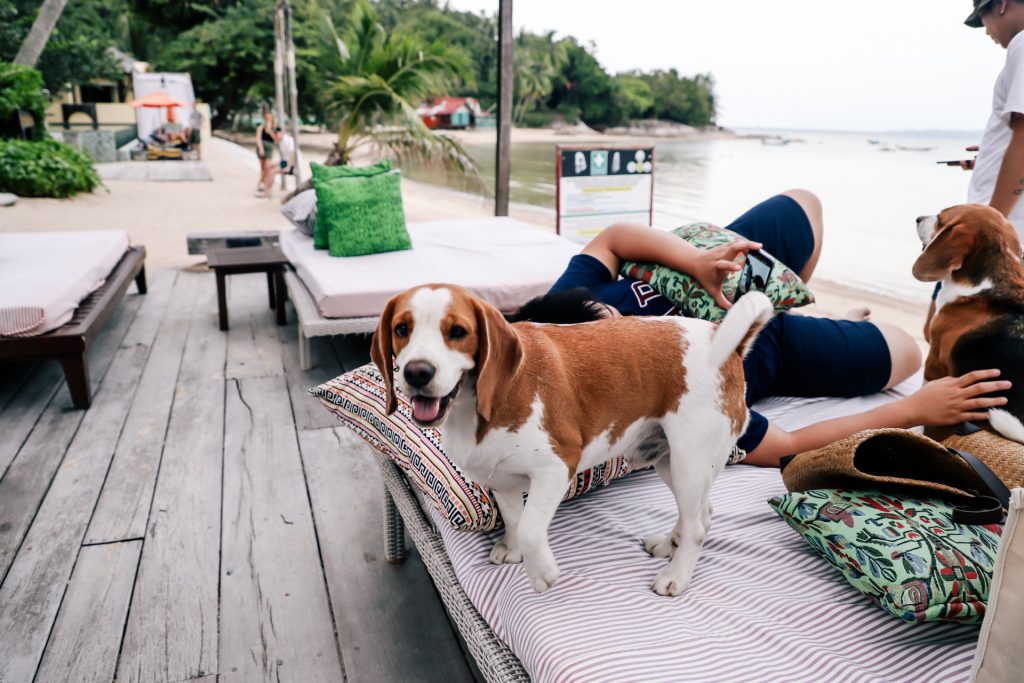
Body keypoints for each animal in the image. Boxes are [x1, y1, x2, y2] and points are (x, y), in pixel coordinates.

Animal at [368, 282, 770, 593]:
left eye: (457, 332)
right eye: (402, 329)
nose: (417, 372)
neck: (479, 404)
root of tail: (728, 344)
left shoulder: (556, 468)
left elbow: (531, 527)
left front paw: (541, 570)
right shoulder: (502, 479)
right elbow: (514, 519)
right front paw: (512, 548)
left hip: (689, 464)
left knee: (698, 527)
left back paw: (676, 575)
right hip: (670, 461)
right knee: (702, 514)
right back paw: (669, 543)